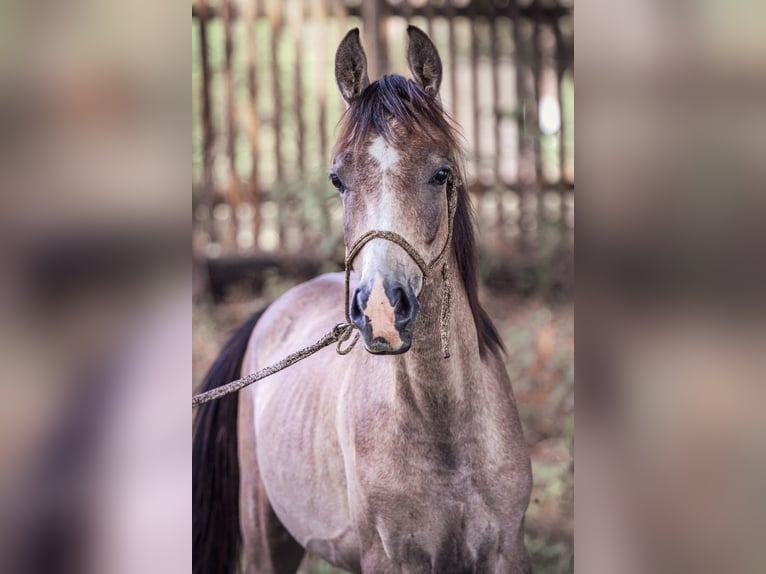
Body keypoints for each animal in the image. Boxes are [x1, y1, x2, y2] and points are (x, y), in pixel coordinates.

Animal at [196, 24, 536, 572]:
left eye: (442, 173)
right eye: (338, 179)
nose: (380, 310)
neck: (444, 430)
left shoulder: (507, 550)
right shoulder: (389, 557)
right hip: (267, 538)